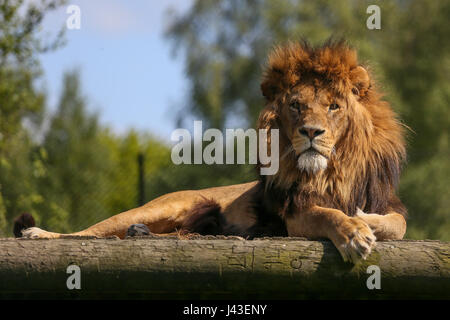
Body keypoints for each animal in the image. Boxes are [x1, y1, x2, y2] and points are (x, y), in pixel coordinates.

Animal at [17, 41, 408, 264]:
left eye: (333, 107)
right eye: (296, 106)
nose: (310, 132)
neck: (331, 172)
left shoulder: (385, 202)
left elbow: (397, 224)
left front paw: (366, 220)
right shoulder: (294, 216)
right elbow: (327, 214)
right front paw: (354, 232)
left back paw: (141, 234)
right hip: (162, 206)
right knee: (90, 232)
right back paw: (37, 234)